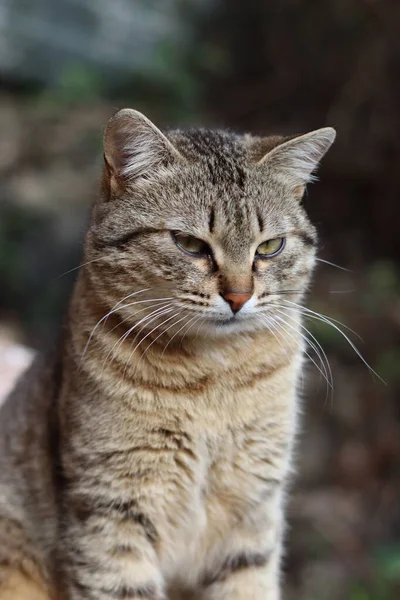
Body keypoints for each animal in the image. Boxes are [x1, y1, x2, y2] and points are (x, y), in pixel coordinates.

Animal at [0, 109, 334, 600]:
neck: (213, 375)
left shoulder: (253, 511)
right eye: (190, 244)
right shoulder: (111, 511)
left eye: (270, 247)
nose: (239, 297)